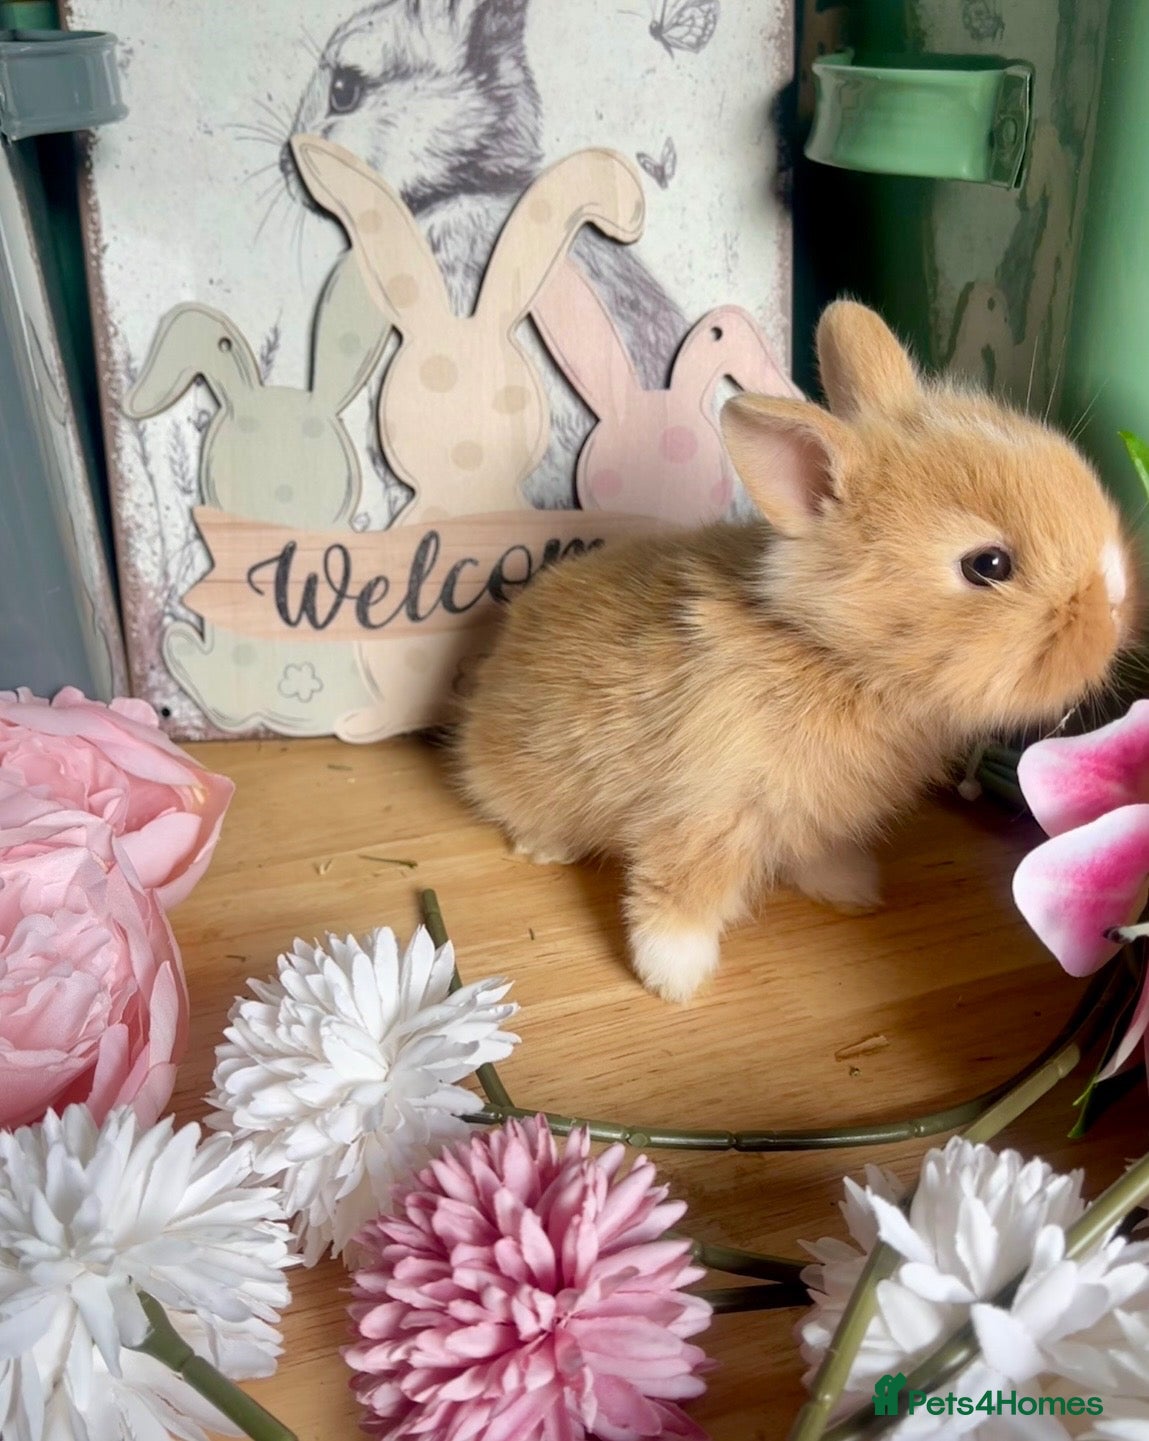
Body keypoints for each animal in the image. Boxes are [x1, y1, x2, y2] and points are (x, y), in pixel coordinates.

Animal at [455, 300, 1138, 1004]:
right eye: (989, 565)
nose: (1117, 601)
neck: (833, 654)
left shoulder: (814, 815)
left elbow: (814, 854)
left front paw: (851, 890)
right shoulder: (704, 811)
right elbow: (678, 894)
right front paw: (672, 979)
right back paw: (543, 846)